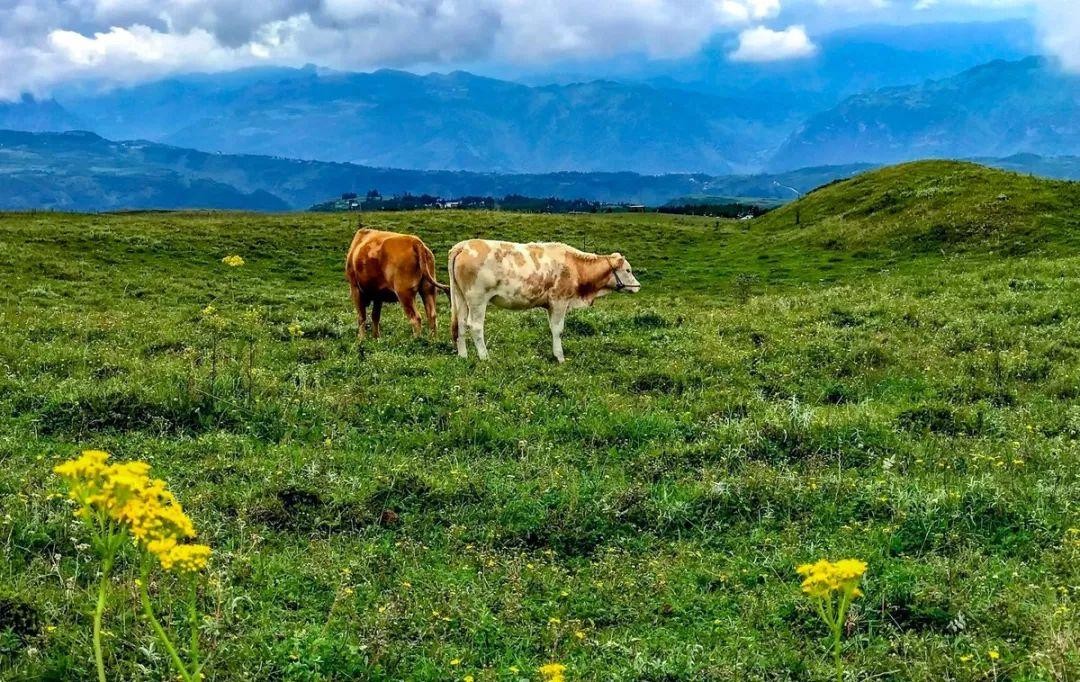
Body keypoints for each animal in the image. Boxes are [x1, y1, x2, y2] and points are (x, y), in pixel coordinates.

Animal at [448, 240, 641, 362]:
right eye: (628, 270)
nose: (638, 286)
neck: (574, 266)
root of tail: (464, 245)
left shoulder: (551, 305)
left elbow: (552, 328)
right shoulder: (560, 301)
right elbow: (558, 330)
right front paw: (560, 357)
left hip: (460, 297)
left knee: (461, 324)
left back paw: (463, 355)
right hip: (477, 299)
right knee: (475, 326)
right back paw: (484, 357)